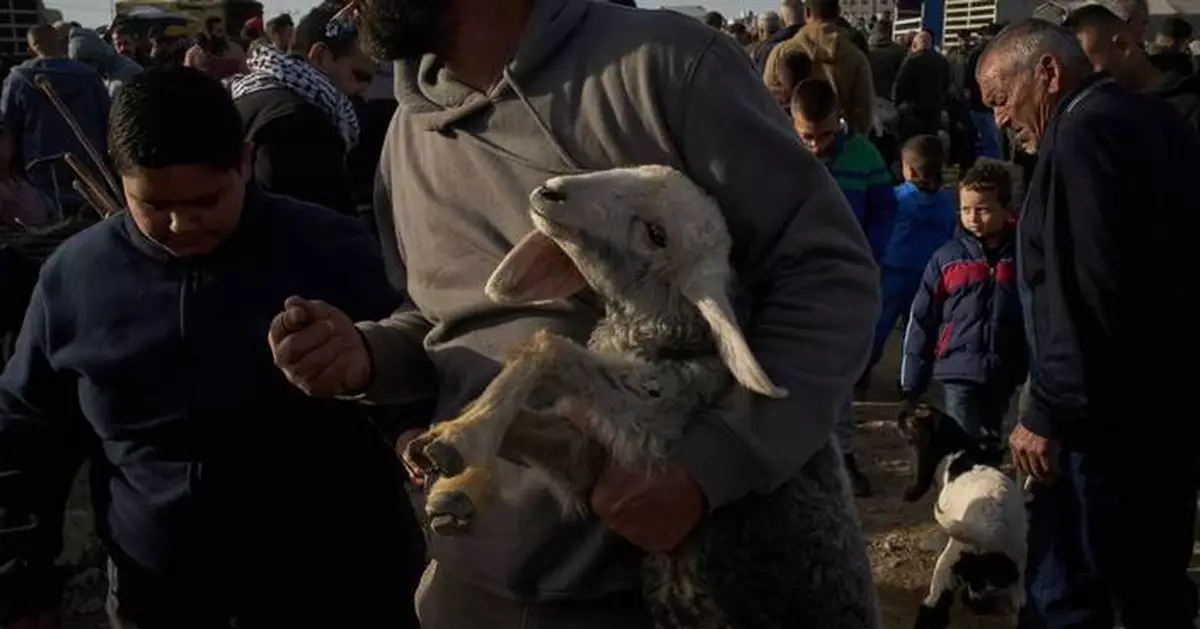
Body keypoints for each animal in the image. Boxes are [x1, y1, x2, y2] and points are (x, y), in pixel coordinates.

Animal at [405, 165, 880, 629]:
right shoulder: (588, 459)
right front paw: (444, 467)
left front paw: (462, 439)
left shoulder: (653, 427)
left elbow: (547, 348)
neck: (674, 339)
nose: (549, 191)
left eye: (657, 234)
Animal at [897, 402, 1027, 629]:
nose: (901, 412)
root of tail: (993, 529)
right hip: (1017, 584)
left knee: (934, 607)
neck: (957, 453)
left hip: (948, 564)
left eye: (914, 417)